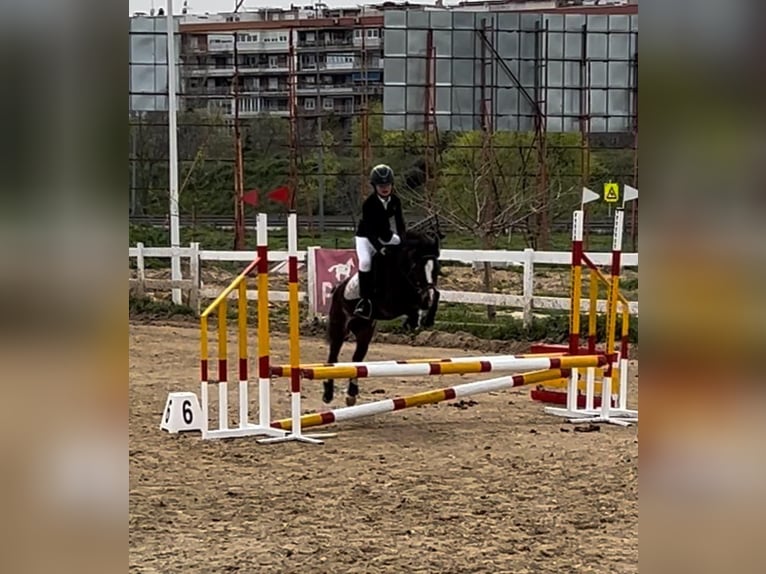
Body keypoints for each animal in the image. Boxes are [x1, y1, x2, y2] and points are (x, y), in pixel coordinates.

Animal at [322, 229, 442, 406]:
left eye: (436, 269)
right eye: (417, 267)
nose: (428, 298)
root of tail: (338, 288)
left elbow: (434, 296)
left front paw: (425, 320)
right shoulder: (390, 305)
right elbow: (411, 304)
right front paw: (413, 320)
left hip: (365, 330)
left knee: (357, 358)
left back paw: (351, 394)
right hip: (339, 327)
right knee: (333, 356)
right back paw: (328, 394)